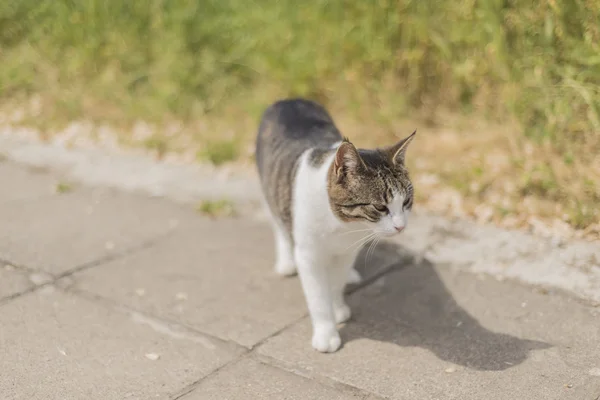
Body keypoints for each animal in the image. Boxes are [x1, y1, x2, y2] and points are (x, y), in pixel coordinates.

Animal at [255, 98, 414, 352]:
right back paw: (286, 262)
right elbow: (318, 298)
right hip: (269, 188)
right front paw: (326, 333)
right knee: (278, 223)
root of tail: (290, 99)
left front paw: (337, 307)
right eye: (380, 207)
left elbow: (335, 283)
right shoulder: (308, 255)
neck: (342, 226)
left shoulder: (347, 250)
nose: (401, 226)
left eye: (406, 201)